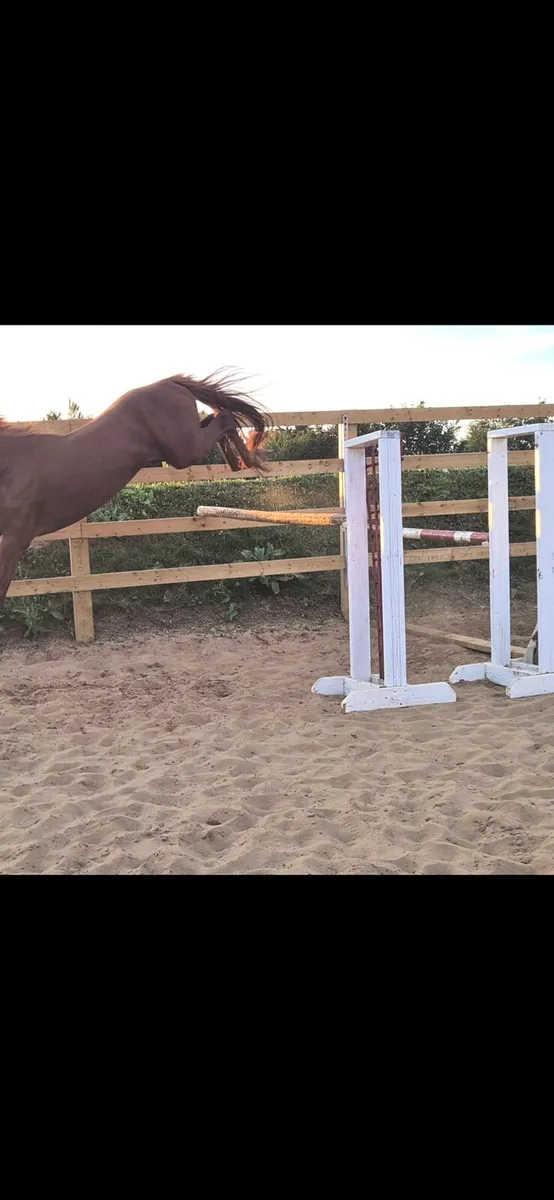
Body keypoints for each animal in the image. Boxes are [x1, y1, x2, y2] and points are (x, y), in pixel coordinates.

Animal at [0, 371, 272, 609]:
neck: (11, 467)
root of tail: (168, 382)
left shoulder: (14, 540)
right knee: (216, 418)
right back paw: (238, 461)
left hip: (185, 450)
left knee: (225, 417)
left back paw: (251, 460)